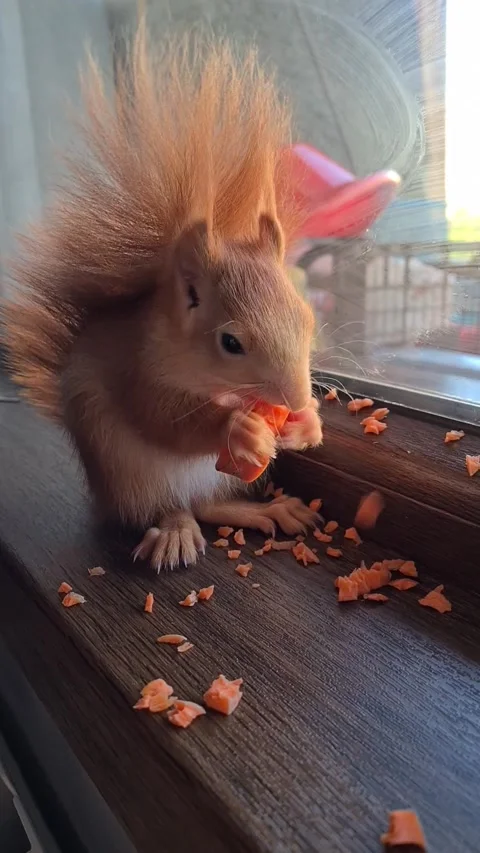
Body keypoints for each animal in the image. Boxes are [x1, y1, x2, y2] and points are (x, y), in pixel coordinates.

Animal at [3, 25, 323, 570]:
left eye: (308, 319)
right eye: (231, 343)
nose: (297, 397)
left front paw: (306, 424)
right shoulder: (136, 371)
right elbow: (165, 421)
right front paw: (237, 429)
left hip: (214, 478)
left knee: (210, 504)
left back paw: (268, 510)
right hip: (130, 474)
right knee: (170, 506)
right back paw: (175, 532)